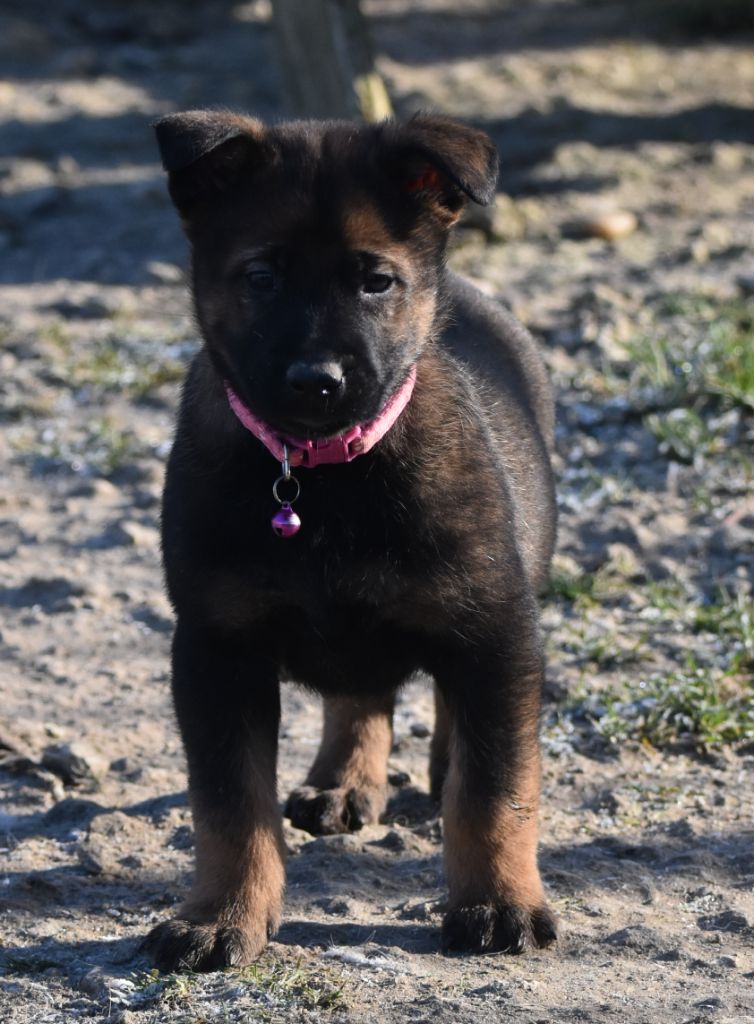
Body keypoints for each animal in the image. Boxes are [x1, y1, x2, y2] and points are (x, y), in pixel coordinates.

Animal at [147, 108, 557, 970]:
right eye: (260, 276)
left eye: (377, 282)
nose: (317, 381)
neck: (321, 473)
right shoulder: (213, 647)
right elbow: (229, 805)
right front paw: (222, 914)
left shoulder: (496, 624)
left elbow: (496, 788)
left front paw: (498, 902)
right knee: (359, 693)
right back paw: (343, 780)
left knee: (456, 722)